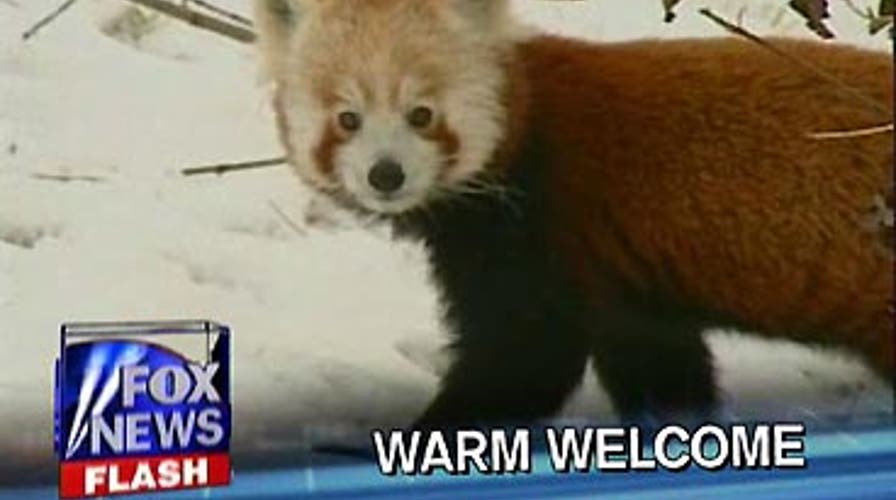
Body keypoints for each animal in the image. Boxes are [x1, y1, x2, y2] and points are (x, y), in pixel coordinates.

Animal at [253, 0, 894, 426]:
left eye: (421, 114)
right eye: (347, 119)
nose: (386, 175)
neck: (524, 135)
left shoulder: (539, 228)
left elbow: (526, 359)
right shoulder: (631, 286)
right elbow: (658, 364)